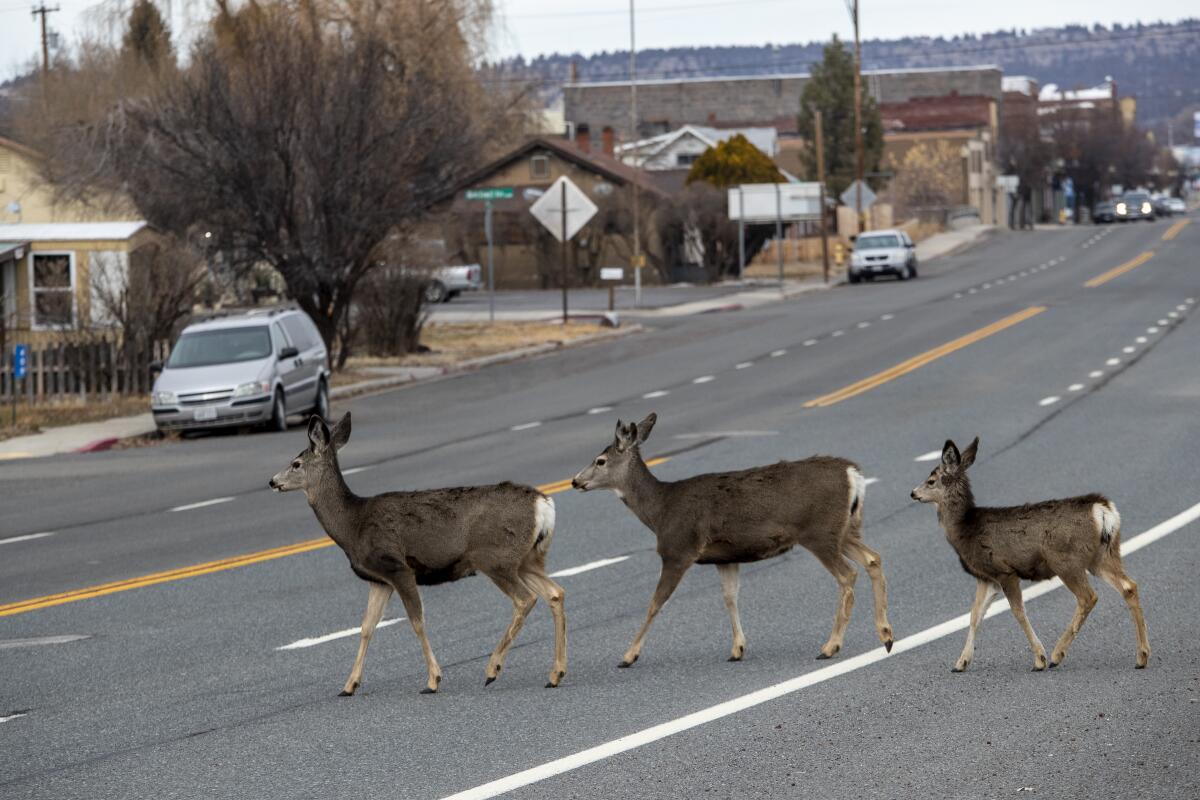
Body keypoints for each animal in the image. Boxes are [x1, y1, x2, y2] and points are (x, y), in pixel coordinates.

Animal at [271, 412, 566, 695]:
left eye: (296, 463)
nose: (273, 481)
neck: (352, 526)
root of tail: (543, 504)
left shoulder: (397, 567)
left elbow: (416, 621)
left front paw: (433, 680)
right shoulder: (379, 580)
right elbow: (367, 627)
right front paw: (349, 685)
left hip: (496, 559)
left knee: (526, 599)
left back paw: (493, 669)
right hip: (527, 559)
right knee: (555, 593)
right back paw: (555, 674)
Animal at [571, 417, 892, 666]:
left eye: (600, 460)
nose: (575, 481)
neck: (660, 511)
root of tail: (852, 473)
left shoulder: (677, 550)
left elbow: (655, 603)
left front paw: (628, 655)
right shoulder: (725, 557)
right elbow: (729, 597)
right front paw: (737, 648)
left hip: (819, 531)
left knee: (848, 574)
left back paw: (830, 646)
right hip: (846, 529)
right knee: (873, 558)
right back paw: (886, 635)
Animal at [912, 441, 1147, 671]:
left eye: (931, 480)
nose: (913, 493)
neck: (965, 529)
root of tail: (1103, 510)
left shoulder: (1004, 569)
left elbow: (1017, 611)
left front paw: (1039, 659)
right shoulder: (986, 577)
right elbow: (975, 616)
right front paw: (961, 663)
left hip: (1065, 560)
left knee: (1088, 597)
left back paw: (1056, 655)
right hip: (1102, 555)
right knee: (1128, 586)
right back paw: (1142, 655)